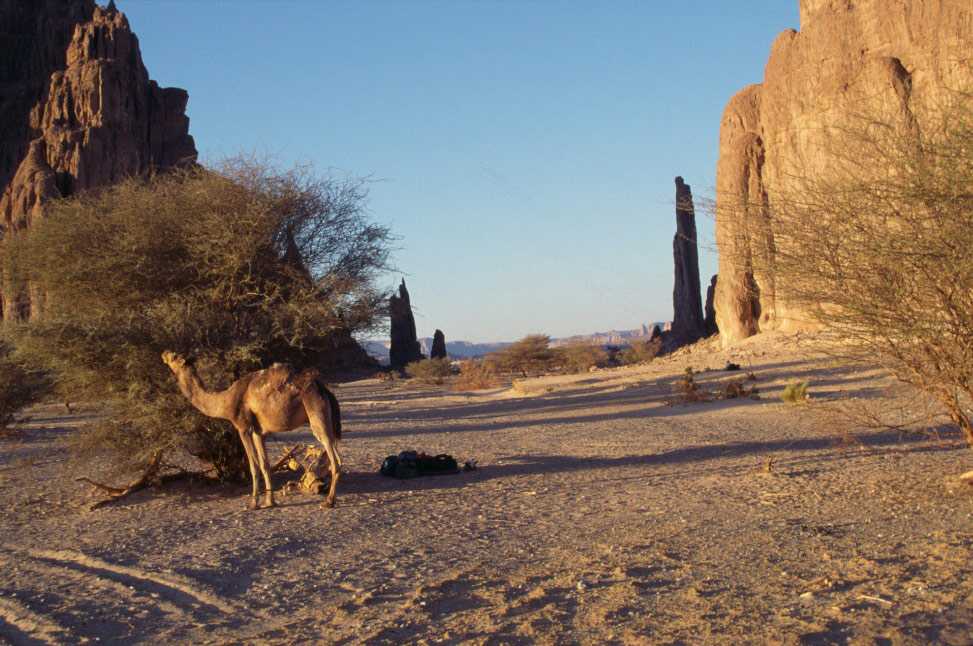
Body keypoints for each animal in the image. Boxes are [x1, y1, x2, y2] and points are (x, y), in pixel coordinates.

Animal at [159, 354, 342, 512]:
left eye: (174, 357)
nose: (164, 354)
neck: (224, 401)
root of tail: (324, 389)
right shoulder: (258, 432)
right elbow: (264, 464)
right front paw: (270, 501)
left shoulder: (243, 427)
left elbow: (253, 466)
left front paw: (253, 503)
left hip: (316, 414)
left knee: (335, 459)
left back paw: (328, 502)